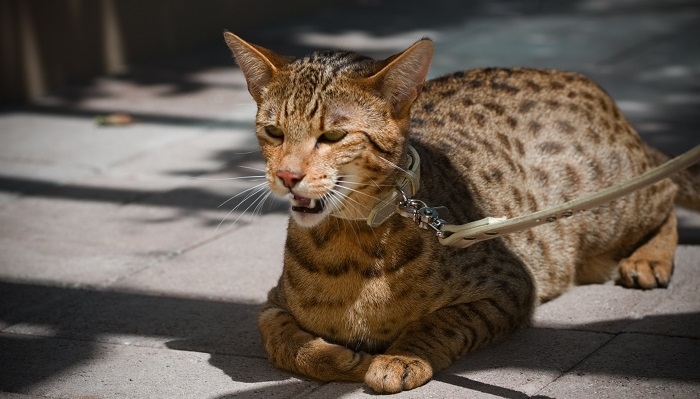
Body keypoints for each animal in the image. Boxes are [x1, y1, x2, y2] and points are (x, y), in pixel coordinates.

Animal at [223, 32, 700, 394]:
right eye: (273, 131)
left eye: (333, 135)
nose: (287, 175)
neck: (351, 239)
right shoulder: (272, 303)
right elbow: (281, 339)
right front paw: (335, 357)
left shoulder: (511, 285)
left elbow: (442, 321)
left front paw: (401, 357)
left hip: (610, 203)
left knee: (664, 188)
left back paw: (648, 258)